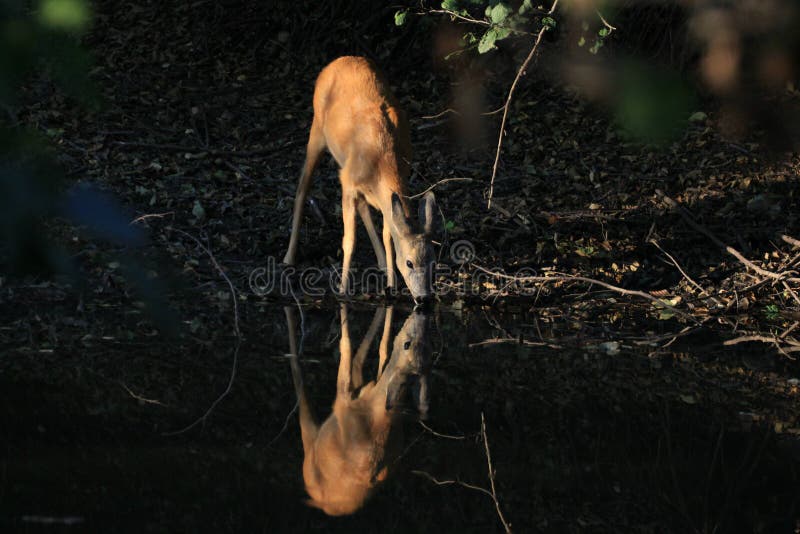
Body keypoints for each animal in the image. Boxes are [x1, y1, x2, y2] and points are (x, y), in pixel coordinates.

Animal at [281, 56, 437, 304]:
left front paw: (391, 285)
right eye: (410, 262)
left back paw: (382, 263)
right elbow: (349, 240)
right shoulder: (347, 183)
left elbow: (387, 234)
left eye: (433, 262)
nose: (424, 297)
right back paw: (289, 257)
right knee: (302, 189)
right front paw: (342, 290)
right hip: (317, 130)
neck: (383, 160)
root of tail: (338, 60)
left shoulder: (389, 191)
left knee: (365, 206)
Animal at [284, 304, 431, 516]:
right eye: (412, 344)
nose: (419, 317)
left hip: (311, 456)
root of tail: (320, 503)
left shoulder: (343, 399)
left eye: (406, 344)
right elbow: (382, 348)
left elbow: (346, 346)